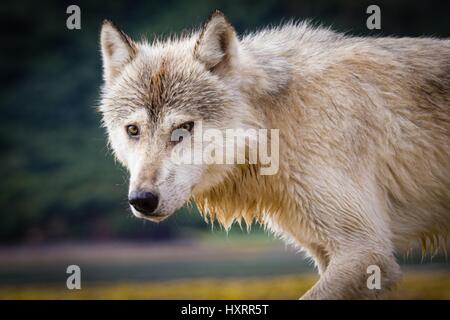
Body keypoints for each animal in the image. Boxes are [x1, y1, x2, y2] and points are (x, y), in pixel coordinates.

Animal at [98, 10, 450, 300]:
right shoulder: (327, 254)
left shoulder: (366, 252)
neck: (277, 123)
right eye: (133, 130)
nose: (142, 200)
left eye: (183, 128)